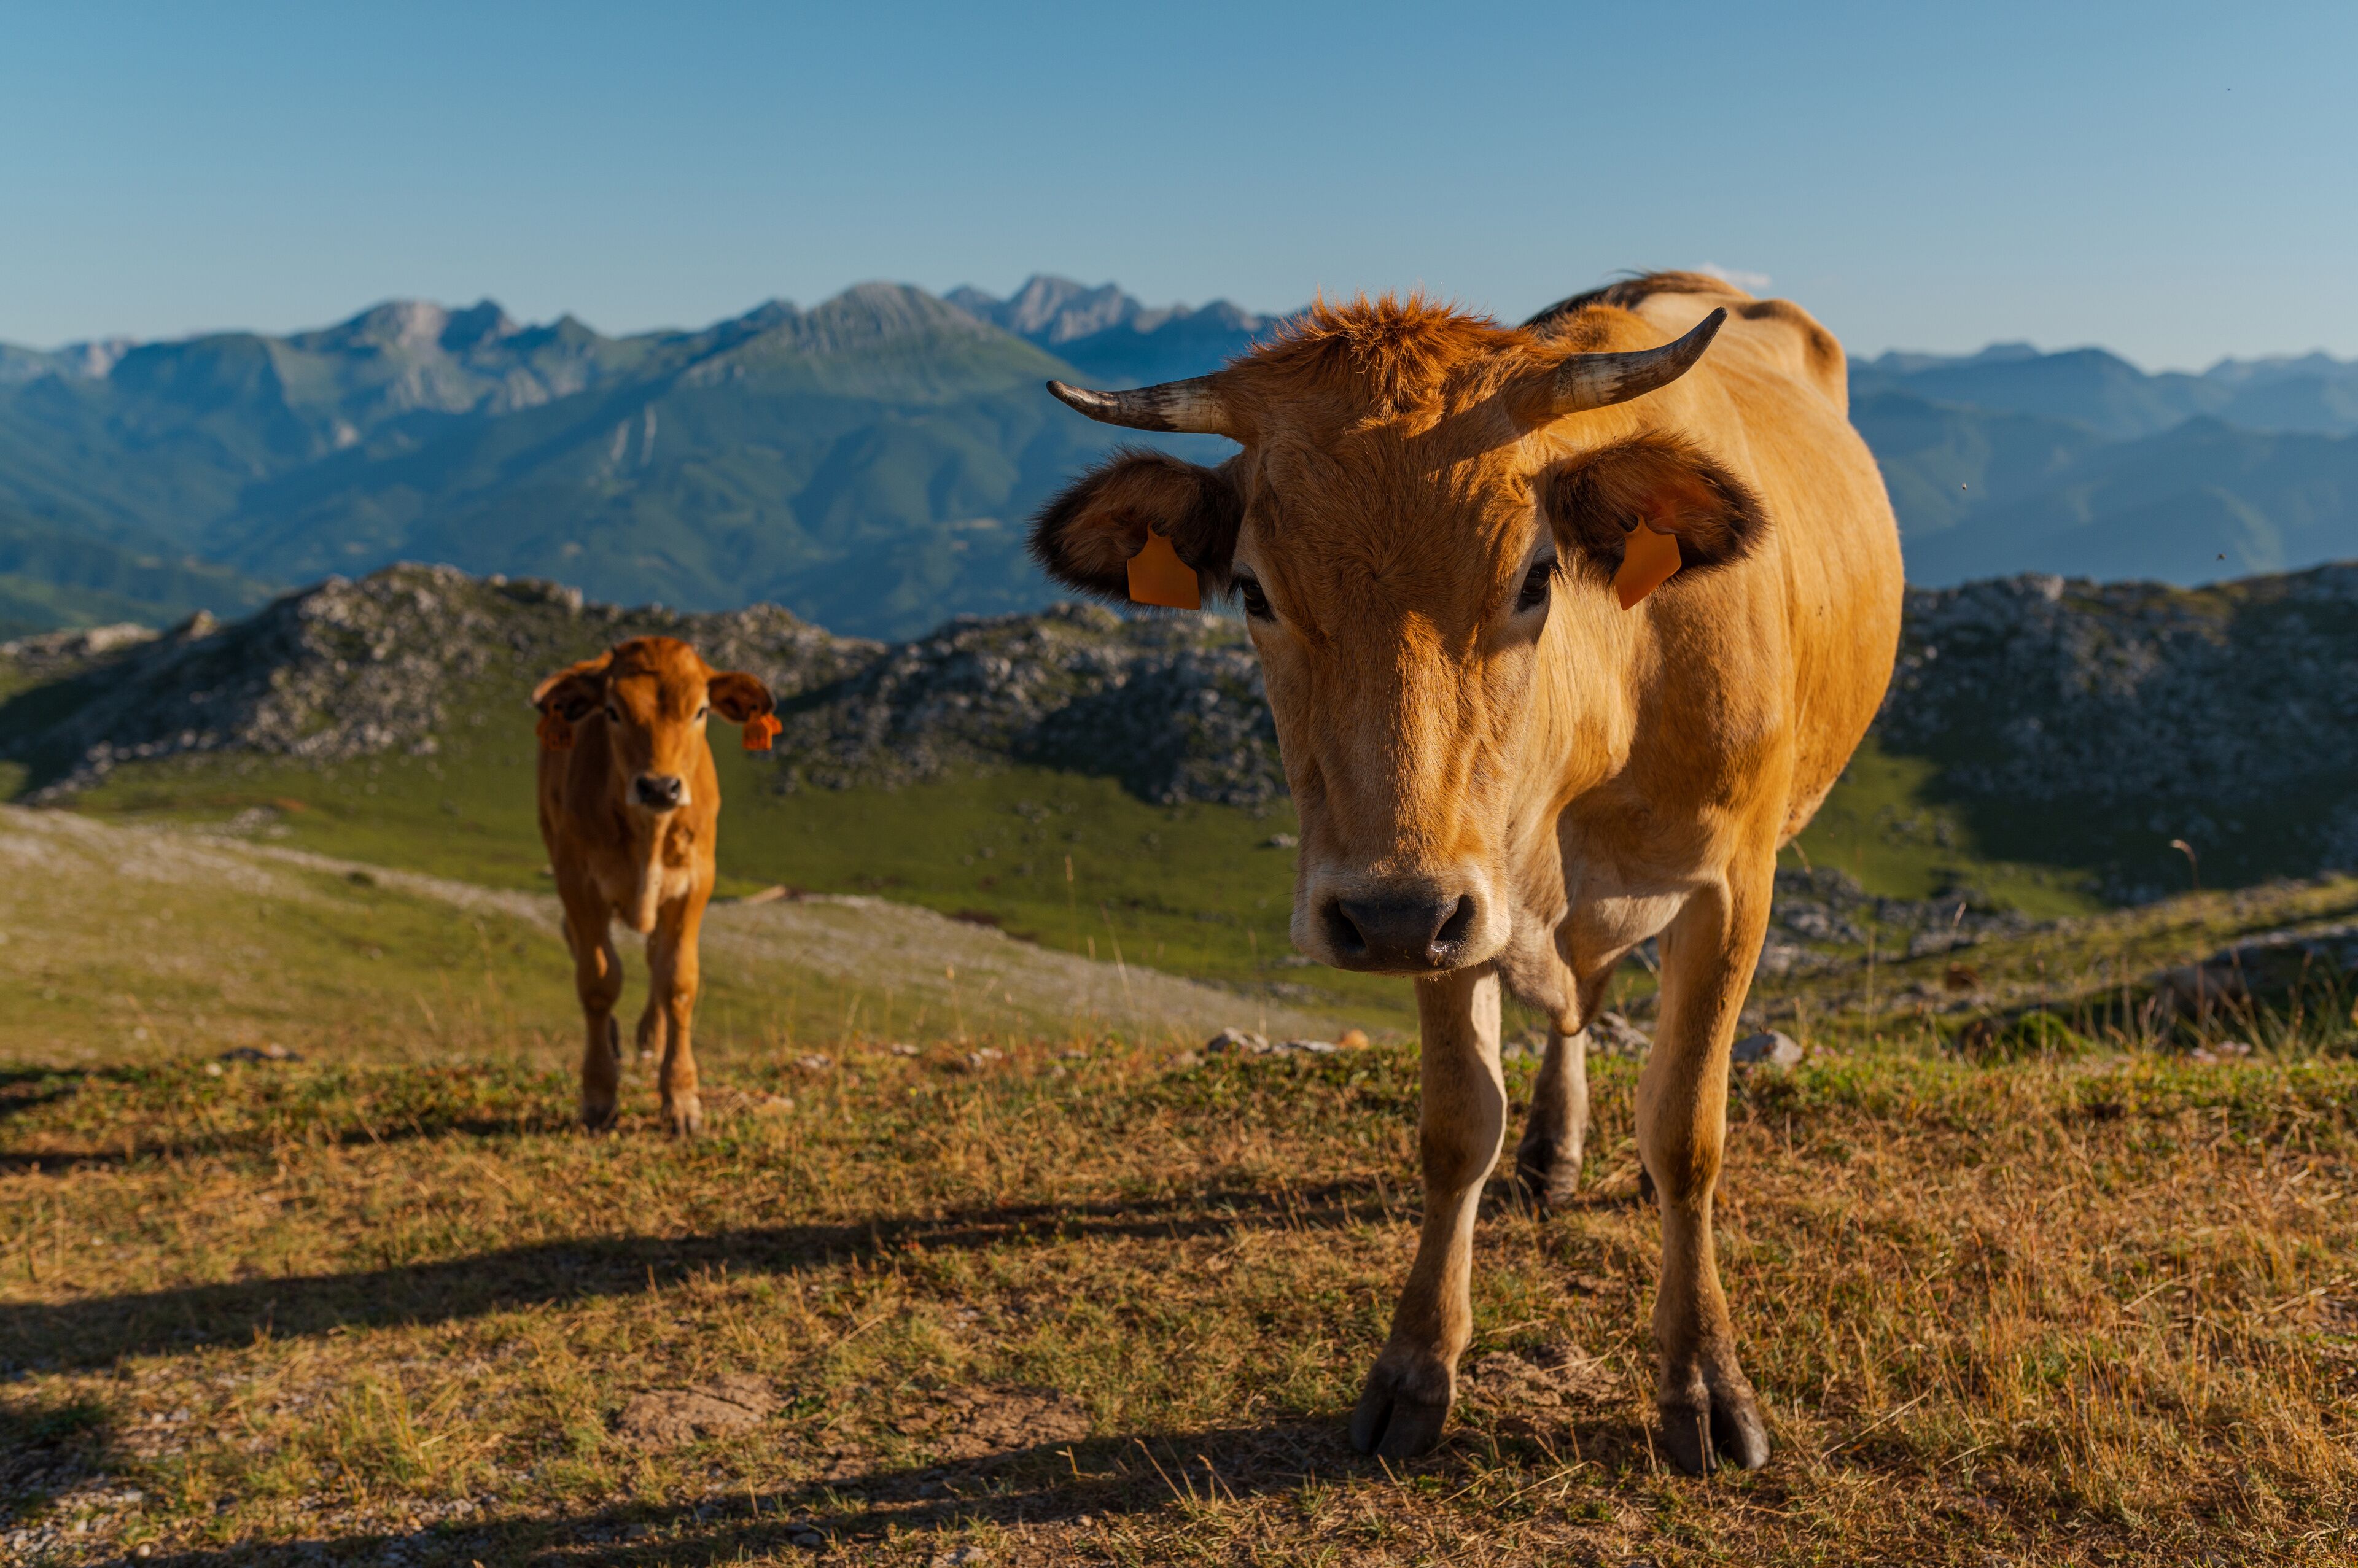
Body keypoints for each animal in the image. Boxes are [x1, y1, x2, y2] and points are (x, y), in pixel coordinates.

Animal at [531, 637, 779, 1136]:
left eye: (701, 710)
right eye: (612, 711)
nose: (661, 787)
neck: (648, 833)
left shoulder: (695, 884)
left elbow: (678, 980)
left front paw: (681, 1097)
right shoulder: (576, 880)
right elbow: (598, 981)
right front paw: (599, 1096)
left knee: (655, 959)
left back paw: (652, 1036)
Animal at [1028, 272, 1903, 1472]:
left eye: (1537, 576)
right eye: (1252, 590)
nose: (1390, 913)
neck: (1591, 731)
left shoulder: (1731, 886)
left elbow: (1687, 1129)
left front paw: (1706, 1383)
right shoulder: (1446, 895)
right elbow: (1455, 1129)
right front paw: (1415, 1367)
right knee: (1576, 999)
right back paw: (1552, 1149)